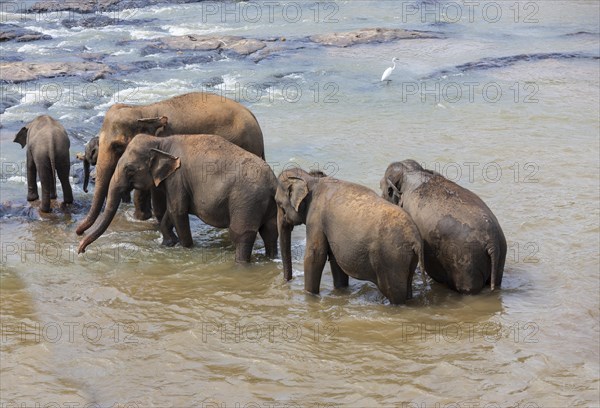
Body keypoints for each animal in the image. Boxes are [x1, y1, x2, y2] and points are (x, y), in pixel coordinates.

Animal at [77, 132, 278, 262]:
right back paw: (271, 258)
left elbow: (177, 210)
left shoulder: (178, 178)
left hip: (246, 202)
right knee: (270, 232)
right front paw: (169, 243)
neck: (161, 142)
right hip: (266, 206)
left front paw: (187, 247)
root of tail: (273, 183)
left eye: (130, 170)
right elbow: (170, 212)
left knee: (241, 235)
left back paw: (240, 264)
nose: (81, 250)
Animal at [274, 167, 424, 304]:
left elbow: (315, 256)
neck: (311, 179)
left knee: (393, 293)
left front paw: (310, 296)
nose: (287, 282)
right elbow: (334, 259)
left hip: (391, 258)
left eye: (278, 203)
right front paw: (341, 290)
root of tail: (415, 240)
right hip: (407, 259)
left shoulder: (315, 219)